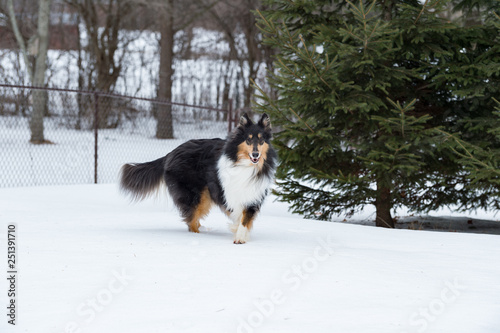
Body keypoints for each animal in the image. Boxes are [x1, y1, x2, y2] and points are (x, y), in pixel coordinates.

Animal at [121, 113, 278, 243]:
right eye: (248, 140)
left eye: (262, 140)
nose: (256, 155)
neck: (245, 165)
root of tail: (170, 153)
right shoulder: (229, 193)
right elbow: (239, 216)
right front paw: (239, 238)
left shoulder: (253, 196)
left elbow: (244, 219)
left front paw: (240, 236)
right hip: (196, 195)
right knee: (191, 220)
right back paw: (198, 236)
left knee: (193, 219)